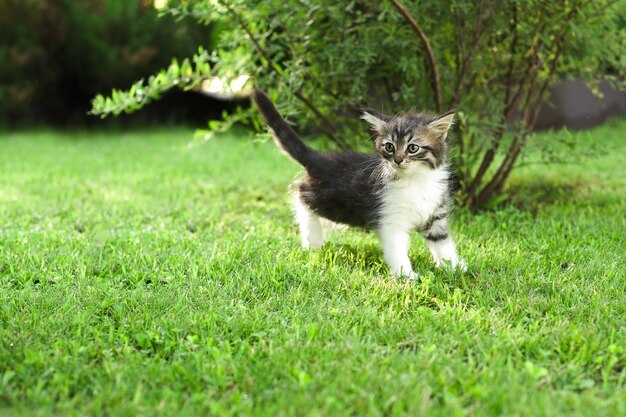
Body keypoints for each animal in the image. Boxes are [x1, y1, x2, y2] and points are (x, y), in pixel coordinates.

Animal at [250, 89, 464, 278]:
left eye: (413, 148)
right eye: (389, 147)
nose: (397, 160)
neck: (416, 179)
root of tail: (318, 158)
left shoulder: (436, 214)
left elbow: (442, 242)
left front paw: (453, 267)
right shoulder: (391, 219)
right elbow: (397, 249)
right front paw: (406, 275)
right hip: (330, 201)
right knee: (300, 194)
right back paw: (313, 237)